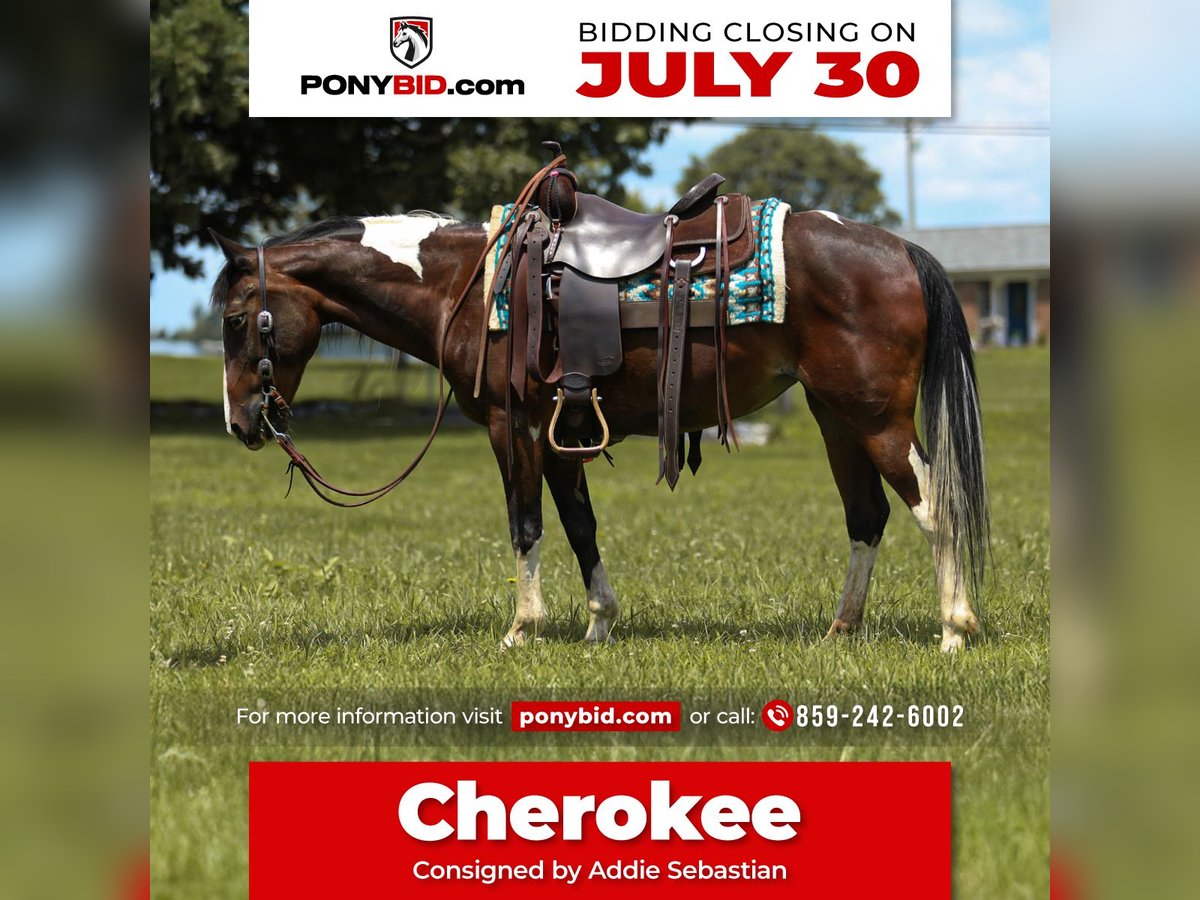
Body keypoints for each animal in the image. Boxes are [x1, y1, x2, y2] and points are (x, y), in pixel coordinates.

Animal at [209, 198, 988, 653]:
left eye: (237, 319)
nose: (241, 422)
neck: (466, 285)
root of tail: (900, 251)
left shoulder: (514, 426)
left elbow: (526, 525)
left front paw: (521, 630)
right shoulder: (563, 432)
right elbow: (581, 526)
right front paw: (599, 623)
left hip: (877, 419)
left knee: (934, 505)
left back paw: (955, 630)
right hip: (836, 418)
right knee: (867, 516)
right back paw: (842, 629)